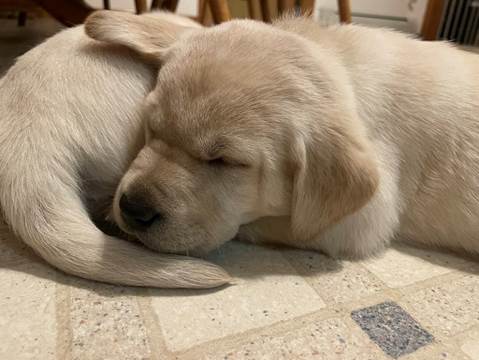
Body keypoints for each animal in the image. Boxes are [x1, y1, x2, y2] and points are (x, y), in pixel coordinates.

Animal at [85, 11, 479, 258]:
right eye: (151, 127)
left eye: (224, 161)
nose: (133, 208)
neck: (341, 69)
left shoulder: (362, 221)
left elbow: (260, 223)